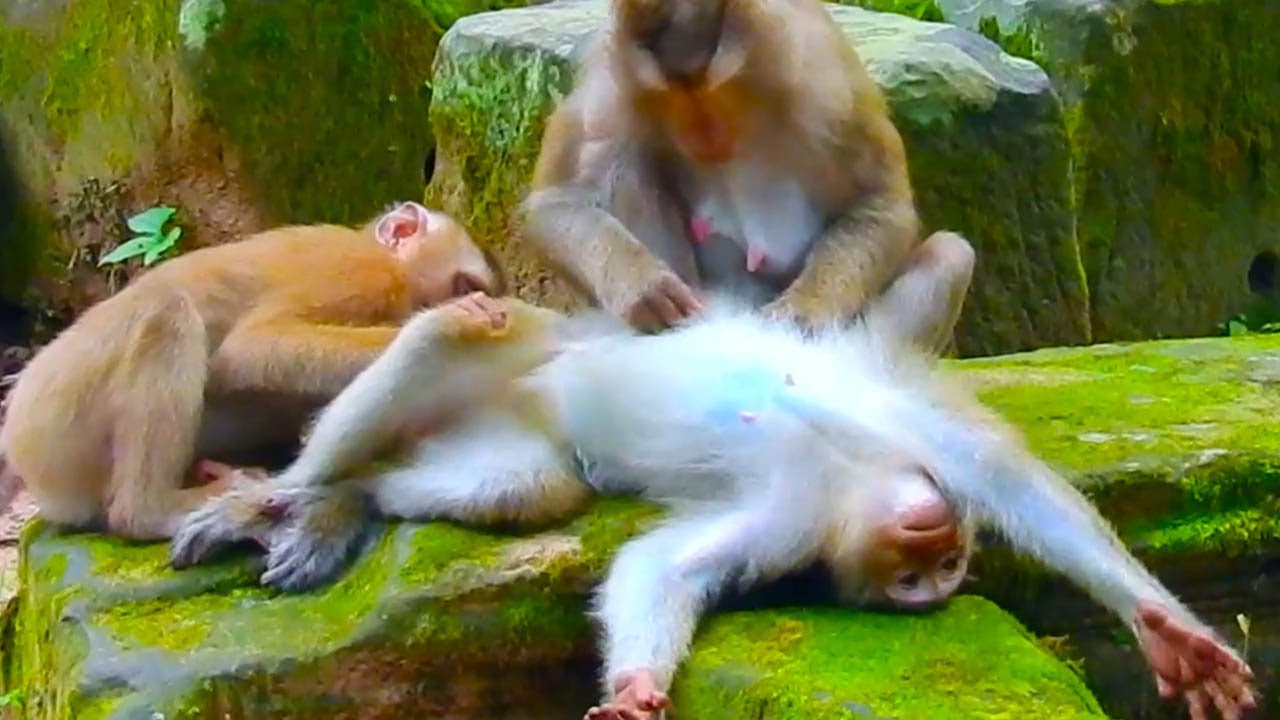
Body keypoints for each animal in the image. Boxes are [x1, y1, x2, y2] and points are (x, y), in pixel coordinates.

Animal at [0, 201, 500, 541]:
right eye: (465, 284)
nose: (473, 298)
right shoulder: (359, 274)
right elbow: (248, 348)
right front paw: (460, 320)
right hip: (59, 424)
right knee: (168, 314)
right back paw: (151, 510)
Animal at [170, 296, 1254, 720]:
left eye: (931, 580)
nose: (936, 561)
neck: (845, 472)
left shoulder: (781, 529)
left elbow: (660, 569)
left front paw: (638, 686)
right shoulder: (898, 440)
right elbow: (999, 475)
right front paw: (1169, 632)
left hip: (499, 438)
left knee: (515, 483)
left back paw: (340, 499)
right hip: (533, 356)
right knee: (467, 333)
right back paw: (284, 493)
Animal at [518, 0, 973, 348]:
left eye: (708, 95)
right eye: (670, 98)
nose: (701, 137)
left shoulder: (828, 87)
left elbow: (879, 205)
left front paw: (805, 310)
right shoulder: (610, 86)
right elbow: (557, 203)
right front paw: (643, 288)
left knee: (950, 255)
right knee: (624, 162)